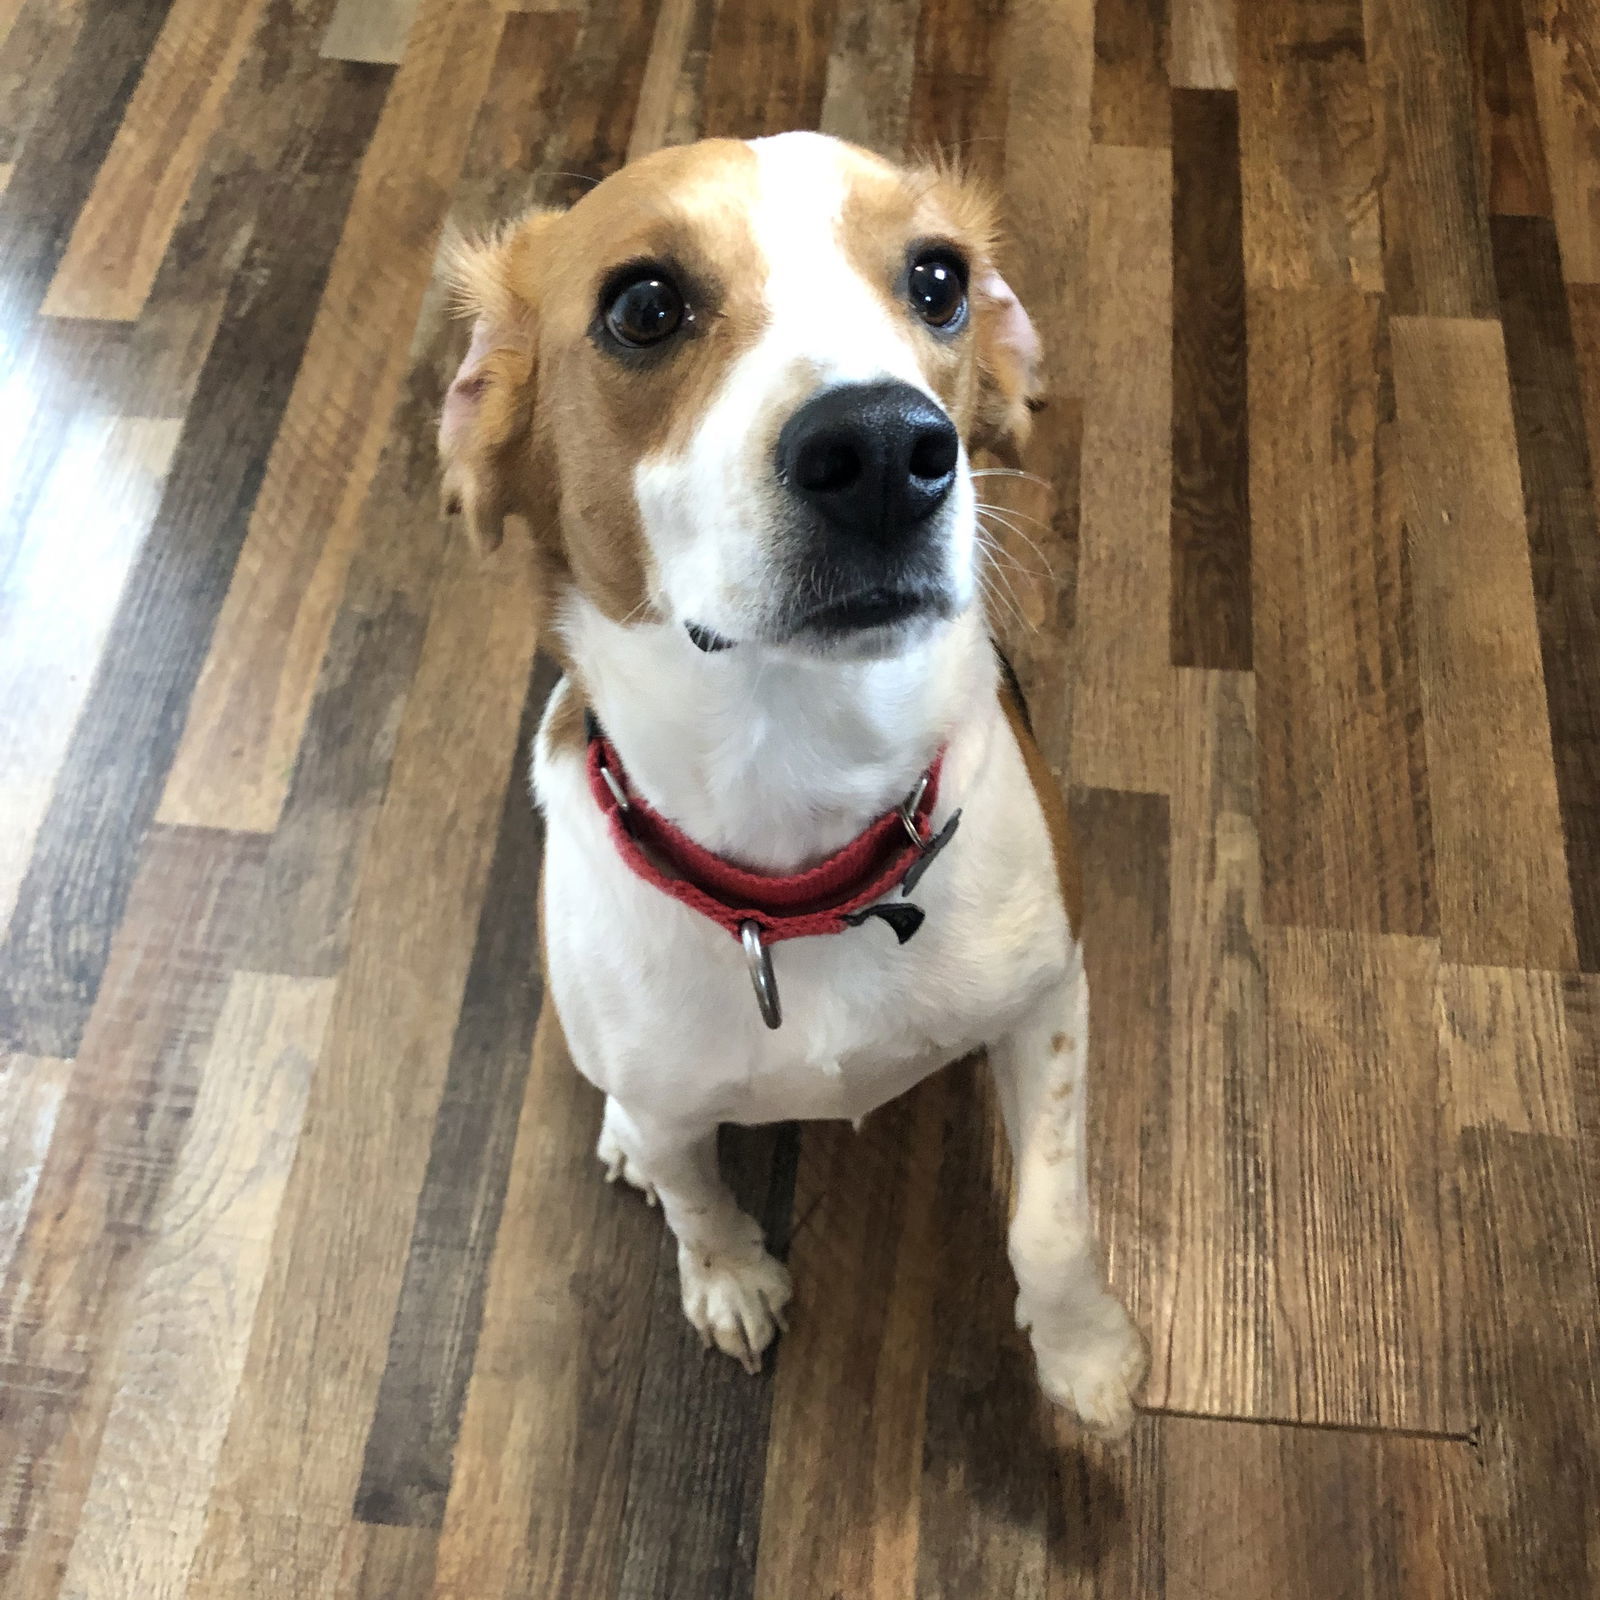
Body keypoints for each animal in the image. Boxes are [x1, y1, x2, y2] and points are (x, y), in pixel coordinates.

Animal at [432, 134, 1145, 1440]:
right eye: (644, 306)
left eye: (936, 280)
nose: (886, 453)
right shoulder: (669, 1092)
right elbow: (692, 1193)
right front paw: (726, 1279)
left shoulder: (1049, 998)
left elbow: (1051, 1220)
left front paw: (1083, 1352)